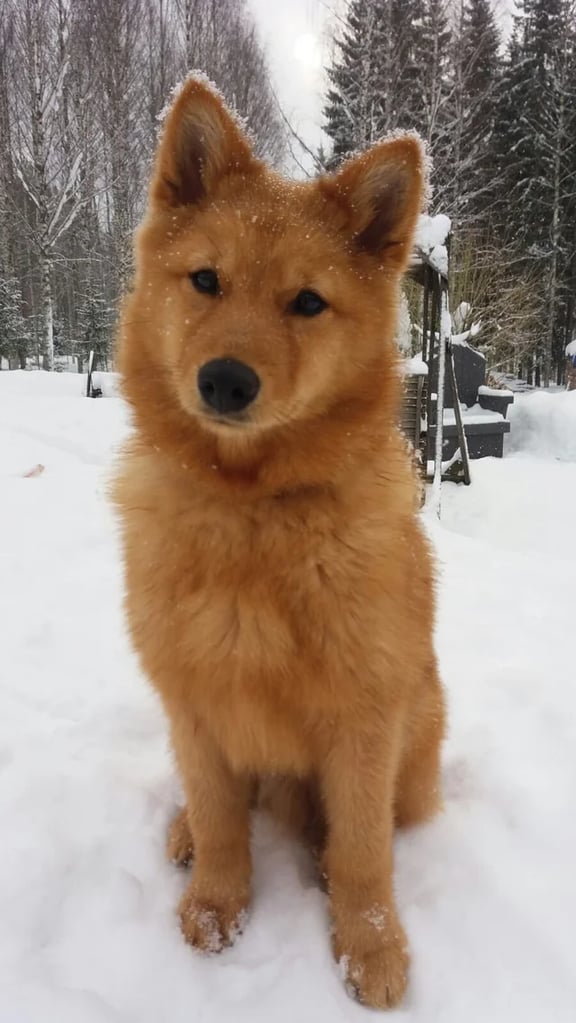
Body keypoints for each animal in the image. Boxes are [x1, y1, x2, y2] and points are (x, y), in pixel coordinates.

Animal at [112, 77, 446, 1006]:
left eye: (307, 302)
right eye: (205, 280)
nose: (225, 381)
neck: (251, 512)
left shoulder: (366, 717)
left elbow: (365, 852)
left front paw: (370, 946)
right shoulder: (193, 701)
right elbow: (223, 814)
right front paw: (217, 900)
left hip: (418, 731)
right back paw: (186, 833)